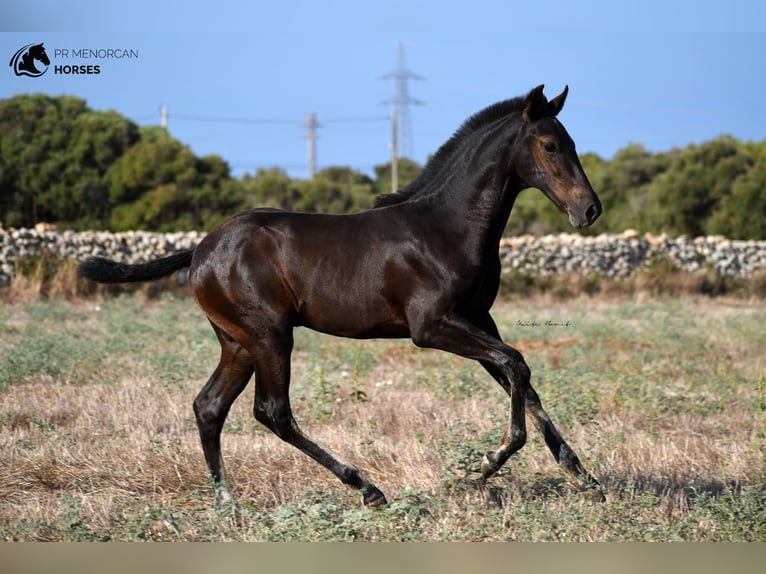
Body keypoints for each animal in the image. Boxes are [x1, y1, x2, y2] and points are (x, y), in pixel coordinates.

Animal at [79, 84, 608, 508]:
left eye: (572, 142)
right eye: (550, 145)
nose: (590, 209)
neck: (447, 228)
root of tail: (201, 249)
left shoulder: (479, 319)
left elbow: (520, 377)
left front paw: (584, 477)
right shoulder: (432, 327)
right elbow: (516, 365)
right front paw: (487, 463)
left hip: (238, 342)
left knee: (209, 407)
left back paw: (228, 503)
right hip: (270, 335)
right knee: (272, 412)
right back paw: (367, 488)